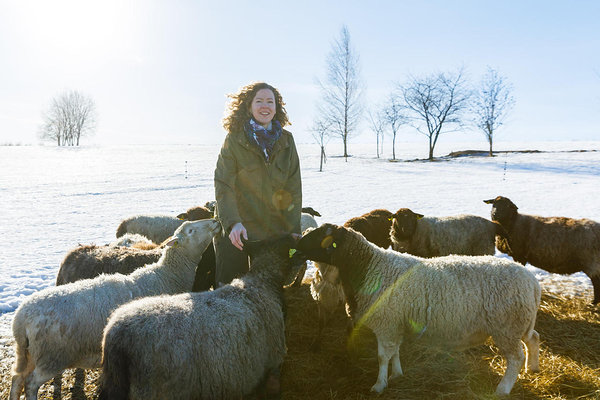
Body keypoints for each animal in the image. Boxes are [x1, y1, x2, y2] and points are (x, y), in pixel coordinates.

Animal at [9, 219, 221, 400]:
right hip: (51, 356)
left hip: (28, 353)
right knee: (30, 383)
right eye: (191, 230)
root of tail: (20, 319)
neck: (165, 275)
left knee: (17, 378)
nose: (215, 221)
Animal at [296, 223, 544, 396]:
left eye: (320, 237)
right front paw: (396, 374)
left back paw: (503, 389)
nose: (295, 246)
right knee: (533, 338)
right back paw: (533, 368)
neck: (368, 267)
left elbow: (382, 357)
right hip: (520, 323)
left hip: (506, 326)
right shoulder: (394, 323)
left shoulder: (386, 323)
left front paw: (379, 385)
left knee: (515, 357)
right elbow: (394, 351)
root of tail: (532, 282)